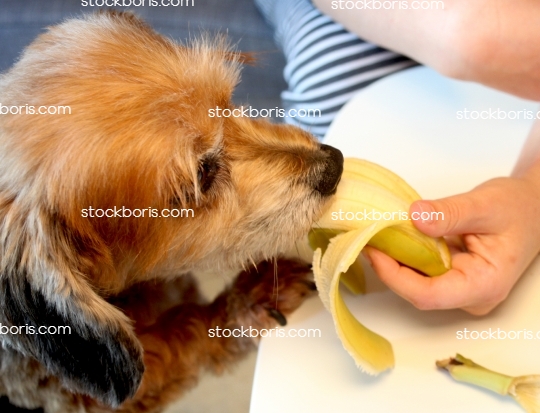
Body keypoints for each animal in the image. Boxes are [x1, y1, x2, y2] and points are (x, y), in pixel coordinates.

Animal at [0, 11, 342, 410]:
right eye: (203, 175)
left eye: (227, 102)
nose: (335, 163)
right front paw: (248, 301)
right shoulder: (97, 396)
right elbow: (185, 328)